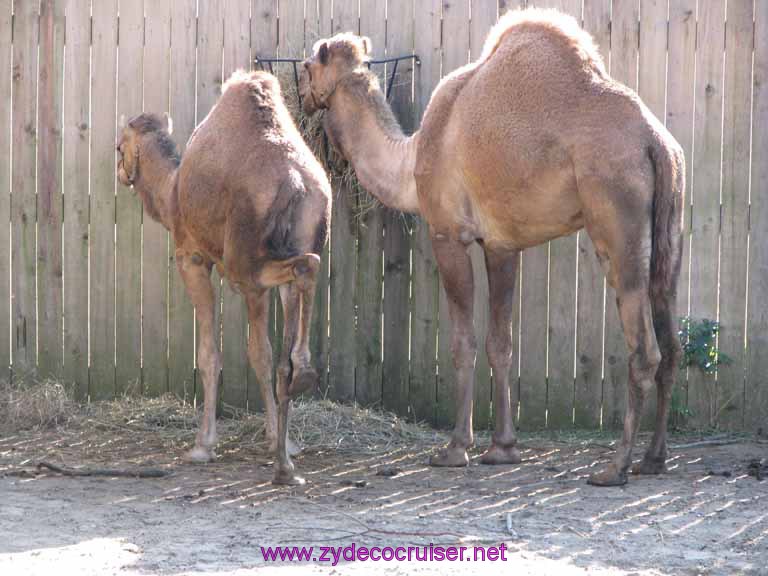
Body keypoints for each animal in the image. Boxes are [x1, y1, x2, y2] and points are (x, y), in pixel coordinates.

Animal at [116, 70, 331, 485]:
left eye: (120, 147)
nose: (119, 173)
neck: (171, 192)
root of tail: (296, 182)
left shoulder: (193, 258)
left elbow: (214, 353)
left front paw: (203, 445)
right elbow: (260, 353)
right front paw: (280, 441)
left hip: (244, 262)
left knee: (300, 275)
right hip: (297, 240)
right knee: (302, 283)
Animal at [300, 9, 684, 486]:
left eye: (307, 66)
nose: (301, 96)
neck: (411, 159)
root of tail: (656, 143)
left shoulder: (448, 234)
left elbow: (463, 341)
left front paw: (455, 448)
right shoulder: (502, 245)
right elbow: (501, 342)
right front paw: (503, 448)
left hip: (618, 223)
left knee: (644, 348)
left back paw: (615, 467)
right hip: (670, 233)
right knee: (672, 341)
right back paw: (654, 458)